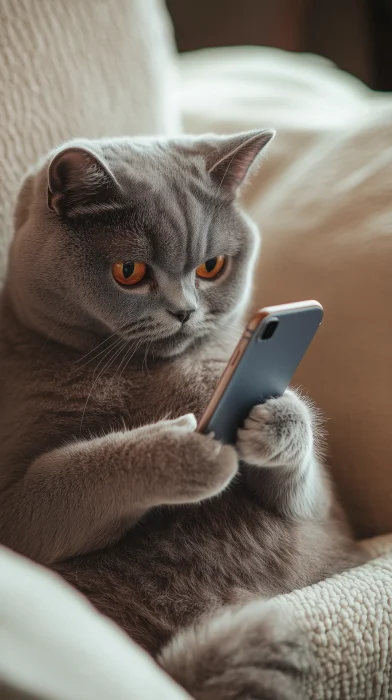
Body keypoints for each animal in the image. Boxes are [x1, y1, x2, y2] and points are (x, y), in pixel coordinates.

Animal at [0, 133, 362, 700]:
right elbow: (81, 470)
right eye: (129, 272)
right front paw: (188, 448)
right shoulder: (14, 511)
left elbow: (307, 492)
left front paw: (275, 417)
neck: (147, 370)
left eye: (212, 266)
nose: (186, 311)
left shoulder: (327, 511)